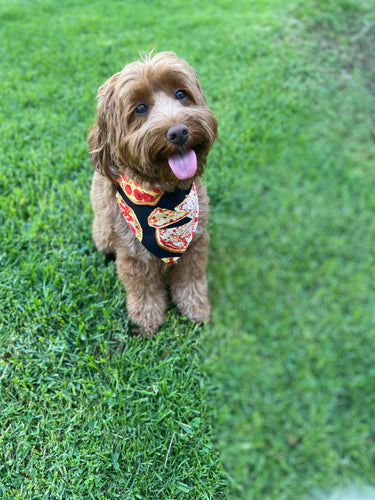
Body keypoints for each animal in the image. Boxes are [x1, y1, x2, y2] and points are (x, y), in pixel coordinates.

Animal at [87, 50, 217, 336]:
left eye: (181, 94)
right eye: (140, 108)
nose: (179, 132)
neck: (164, 195)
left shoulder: (196, 242)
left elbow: (191, 279)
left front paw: (196, 308)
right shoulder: (133, 254)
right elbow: (143, 289)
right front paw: (146, 320)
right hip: (103, 234)